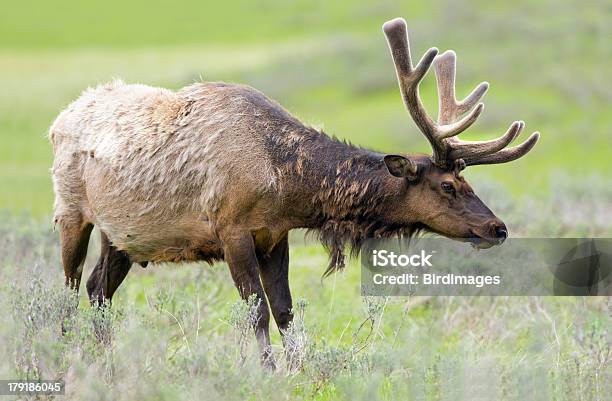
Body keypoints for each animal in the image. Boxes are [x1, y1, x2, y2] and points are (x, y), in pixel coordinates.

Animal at [49, 18, 536, 366]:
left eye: (467, 181)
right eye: (448, 185)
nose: (497, 228)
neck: (284, 184)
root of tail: (61, 116)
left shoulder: (274, 235)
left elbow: (284, 311)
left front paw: (298, 368)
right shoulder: (231, 229)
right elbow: (257, 312)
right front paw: (265, 371)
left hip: (123, 235)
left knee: (98, 289)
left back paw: (103, 356)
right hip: (71, 211)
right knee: (69, 288)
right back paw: (67, 350)